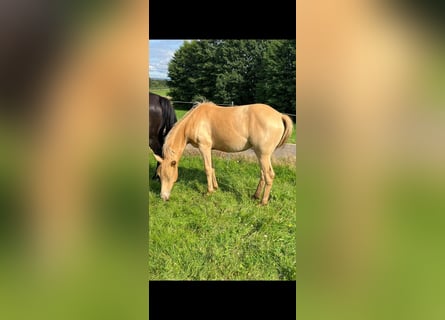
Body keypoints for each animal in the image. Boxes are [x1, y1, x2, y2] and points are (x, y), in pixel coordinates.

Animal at [154, 102, 294, 205]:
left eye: (168, 176)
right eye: (159, 176)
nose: (163, 197)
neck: (194, 120)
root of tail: (279, 115)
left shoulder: (204, 147)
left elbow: (207, 169)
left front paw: (209, 191)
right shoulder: (210, 149)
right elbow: (212, 168)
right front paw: (216, 188)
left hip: (263, 155)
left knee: (269, 175)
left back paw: (263, 202)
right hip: (261, 155)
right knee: (263, 175)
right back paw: (255, 196)